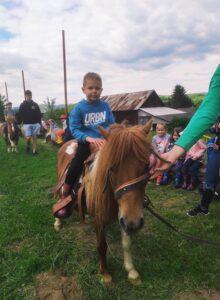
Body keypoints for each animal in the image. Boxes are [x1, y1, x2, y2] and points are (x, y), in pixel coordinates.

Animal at [53, 119, 154, 284]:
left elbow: (126, 243)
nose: (134, 223)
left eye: (147, 166)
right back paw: (57, 222)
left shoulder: (124, 216)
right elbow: (102, 246)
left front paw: (131, 271)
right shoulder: (100, 220)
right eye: (111, 168)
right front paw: (105, 274)